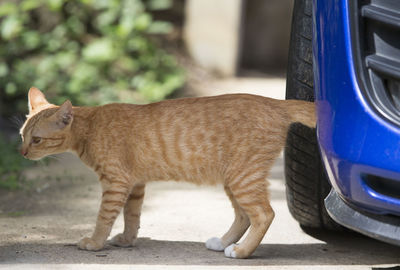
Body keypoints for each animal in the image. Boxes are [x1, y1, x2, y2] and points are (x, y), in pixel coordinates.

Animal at [20, 87, 316, 258]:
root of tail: (276, 102)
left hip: (242, 177)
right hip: (234, 178)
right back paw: (223, 242)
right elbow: (131, 216)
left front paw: (94, 242)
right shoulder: (135, 184)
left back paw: (242, 251)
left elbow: (104, 217)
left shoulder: (115, 183)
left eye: (37, 140)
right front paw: (127, 240)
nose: (21, 153)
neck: (90, 127)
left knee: (264, 214)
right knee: (244, 215)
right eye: (22, 135)